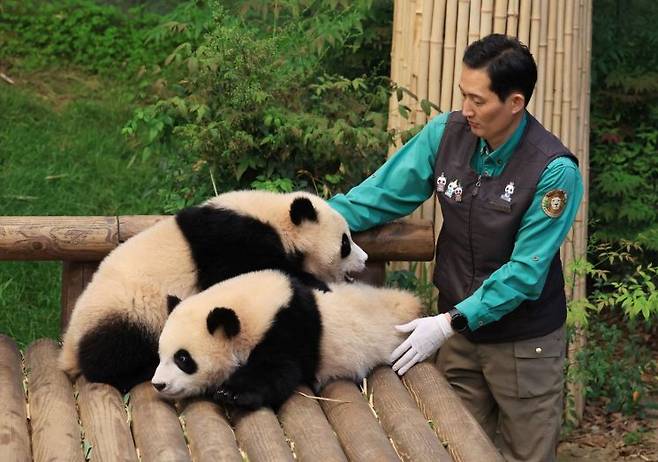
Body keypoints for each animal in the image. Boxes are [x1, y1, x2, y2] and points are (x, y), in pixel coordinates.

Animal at [59, 189, 366, 392]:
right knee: (110, 355)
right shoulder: (233, 240)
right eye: (345, 243)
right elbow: (250, 271)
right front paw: (315, 283)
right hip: (128, 311)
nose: (363, 260)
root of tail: (69, 345)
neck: (272, 216)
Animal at [151, 268, 420, 410]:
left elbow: (276, 369)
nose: (158, 384)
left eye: (183, 359)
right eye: (160, 355)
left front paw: (231, 393)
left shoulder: (287, 328)